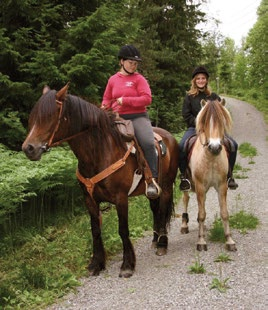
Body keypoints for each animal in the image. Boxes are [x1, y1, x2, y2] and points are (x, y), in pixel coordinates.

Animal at [22, 83, 179, 278]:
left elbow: (123, 230)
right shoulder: (89, 199)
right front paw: (96, 263)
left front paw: (127, 265)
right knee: (156, 210)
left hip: (166, 187)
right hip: (151, 192)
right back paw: (155, 239)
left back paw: (162, 244)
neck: (100, 151)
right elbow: (95, 230)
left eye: (50, 116)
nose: (29, 148)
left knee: (163, 209)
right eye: (33, 117)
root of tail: (169, 137)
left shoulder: (121, 199)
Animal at [180, 99, 237, 252]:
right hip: (188, 184)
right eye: (204, 122)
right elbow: (201, 214)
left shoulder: (222, 185)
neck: (211, 157)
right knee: (186, 199)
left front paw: (229, 240)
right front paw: (201, 241)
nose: (215, 147)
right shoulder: (199, 185)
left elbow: (224, 213)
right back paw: (184, 225)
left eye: (222, 121)